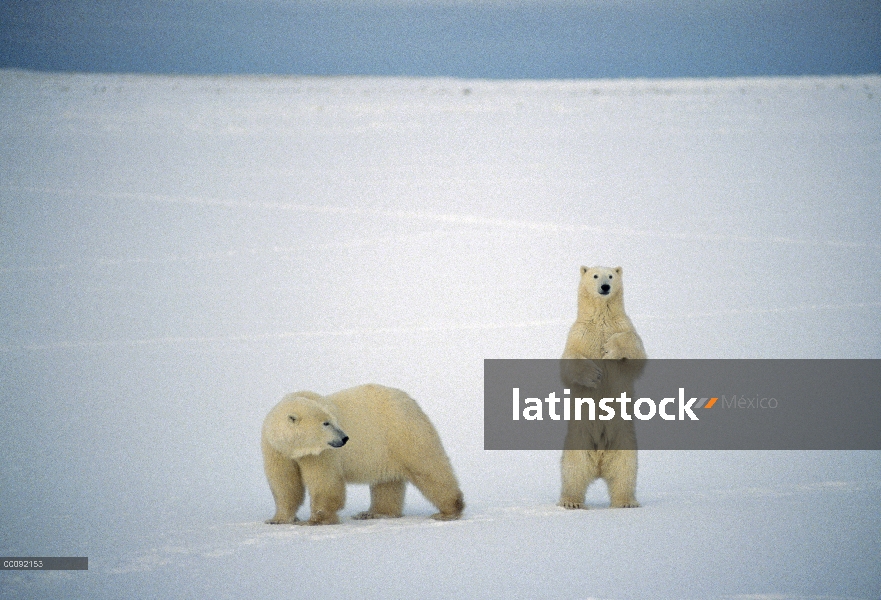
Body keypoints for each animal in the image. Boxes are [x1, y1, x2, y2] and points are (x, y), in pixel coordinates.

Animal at [262, 384, 464, 524]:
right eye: (326, 423)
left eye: (333, 420)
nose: (344, 438)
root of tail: (410, 401)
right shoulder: (275, 450)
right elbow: (284, 484)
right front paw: (277, 519)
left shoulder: (322, 454)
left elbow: (325, 482)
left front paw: (316, 519)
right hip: (386, 450)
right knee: (386, 483)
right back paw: (373, 513)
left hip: (403, 434)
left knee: (428, 468)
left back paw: (448, 512)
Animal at [556, 264, 648, 508]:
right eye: (595, 275)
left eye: (611, 275)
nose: (605, 287)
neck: (600, 319)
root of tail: (599, 463)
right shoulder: (579, 334)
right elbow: (569, 364)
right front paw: (595, 374)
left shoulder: (624, 325)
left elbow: (635, 350)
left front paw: (609, 348)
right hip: (579, 439)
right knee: (574, 469)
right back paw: (571, 501)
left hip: (624, 441)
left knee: (624, 470)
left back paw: (626, 501)